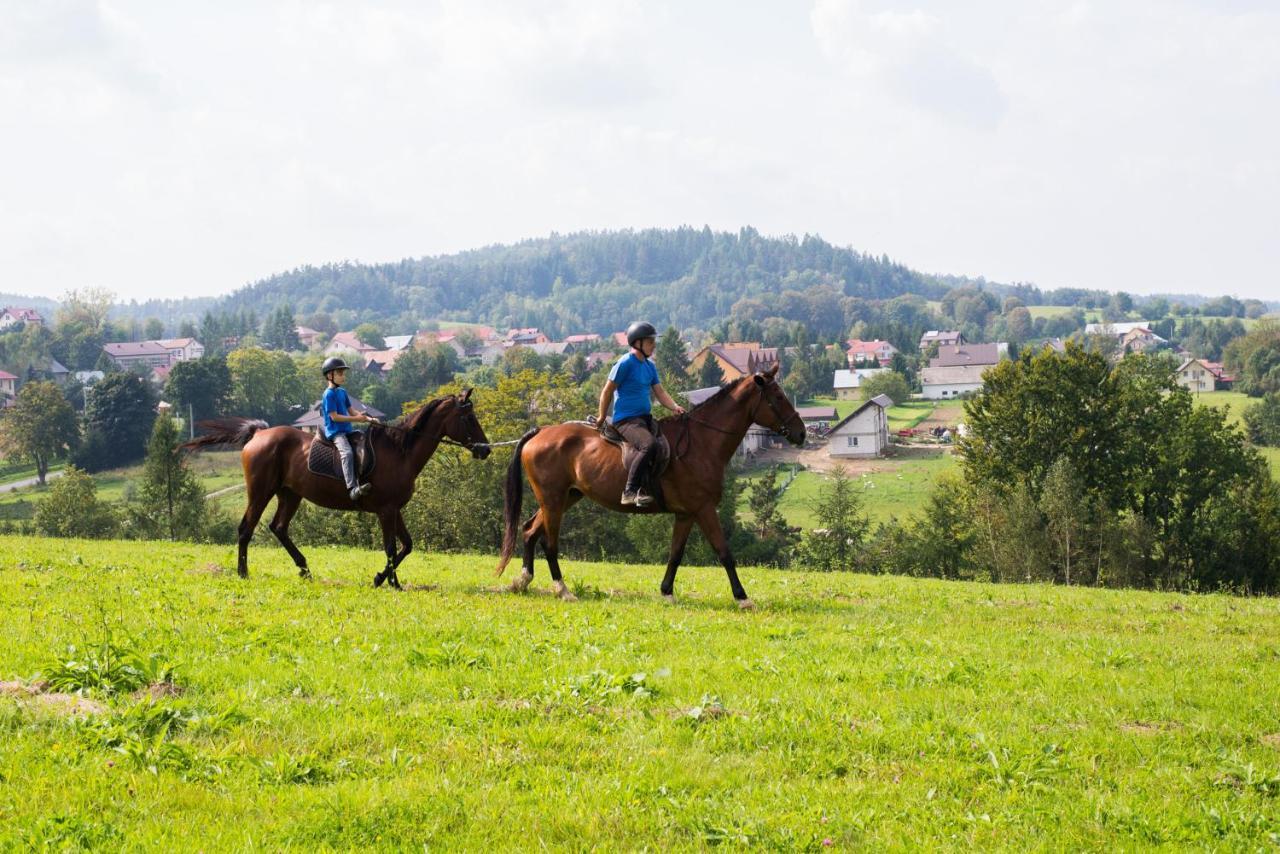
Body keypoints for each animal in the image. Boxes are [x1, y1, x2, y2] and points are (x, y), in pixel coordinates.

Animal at [185, 391, 488, 588]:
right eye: (469, 418)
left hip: (290, 494)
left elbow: (406, 546)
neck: (400, 452)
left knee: (279, 527)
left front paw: (385, 579)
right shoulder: (386, 510)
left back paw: (304, 569)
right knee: (246, 528)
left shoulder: (394, 509)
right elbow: (391, 547)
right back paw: (243, 573)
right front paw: (388, 581)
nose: (485, 449)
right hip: (260, 492)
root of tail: (258, 434)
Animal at [494, 363, 803, 612]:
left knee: (530, 530)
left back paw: (522, 581)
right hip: (554, 499)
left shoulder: (686, 513)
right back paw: (563, 590)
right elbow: (724, 552)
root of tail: (541, 432)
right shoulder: (704, 509)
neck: (702, 442)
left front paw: (667, 592)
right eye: (778, 397)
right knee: (548, 540)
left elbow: (676, 553)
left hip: (566, 497)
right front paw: (742, 598)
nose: (801, 432)